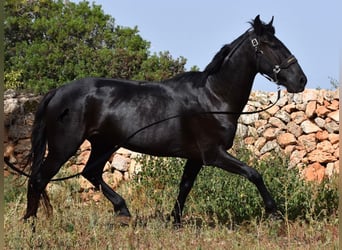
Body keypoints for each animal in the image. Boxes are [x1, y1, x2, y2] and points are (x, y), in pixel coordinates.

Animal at [23, 16, 308, 226]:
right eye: (272, 45)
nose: (301, 80)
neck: (213, 98)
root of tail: (58, 92)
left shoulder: (196, 158)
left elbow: (185, 187)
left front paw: (175, 221)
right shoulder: (213, 154)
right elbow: (254, 174)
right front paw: (274, 214)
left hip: (103, 144)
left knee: (89, 172)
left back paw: (123, 211)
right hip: (64, 147)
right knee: (39, 180)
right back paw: (31, 223)